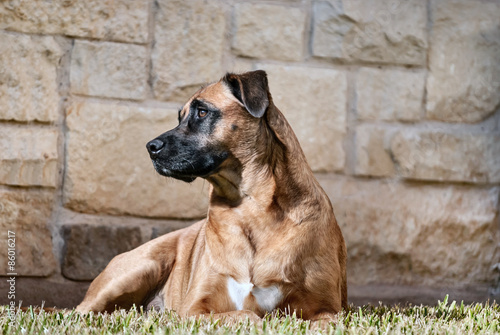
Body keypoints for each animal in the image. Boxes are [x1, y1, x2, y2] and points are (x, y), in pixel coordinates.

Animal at [76, 70, 348, 326]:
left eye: (202, 112)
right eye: (181, 117)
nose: (150, 147)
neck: (250, 207)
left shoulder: (329, 311)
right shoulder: (194, 309)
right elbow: (249, 316)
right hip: (141, 266)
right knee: (81, 312)